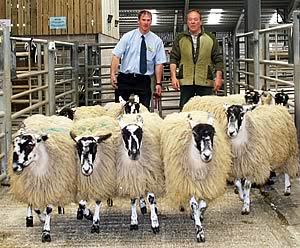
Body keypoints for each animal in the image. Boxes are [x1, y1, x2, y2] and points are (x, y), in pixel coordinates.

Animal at [159, 111, 232, 242]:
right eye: (195, 134)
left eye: (213, 133)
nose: (207, 155)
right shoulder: (189, 183)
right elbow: (193, 205)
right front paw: (199, 232)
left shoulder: (206, 185)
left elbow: (203, 205)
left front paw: (199, 215)